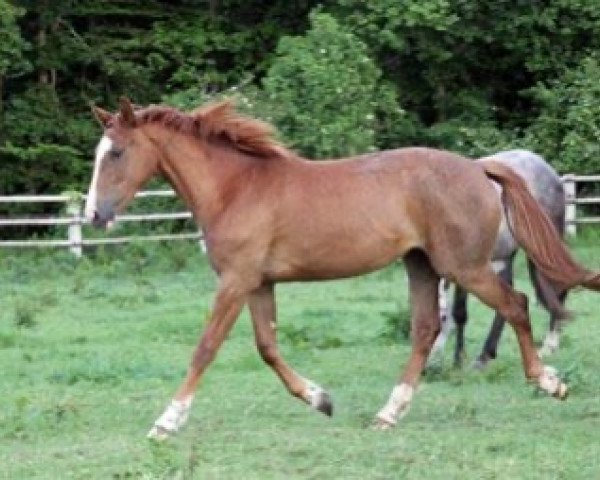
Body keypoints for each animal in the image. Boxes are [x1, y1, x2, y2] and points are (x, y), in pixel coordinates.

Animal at [432, 150, 568, 368]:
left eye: (443, 318)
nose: (430, 366)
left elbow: (458, 313)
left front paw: (458, 361)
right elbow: (461, 312)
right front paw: (459, 358)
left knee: (558, 291)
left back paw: (549, 346)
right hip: (505, 256)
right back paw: (486, 355)